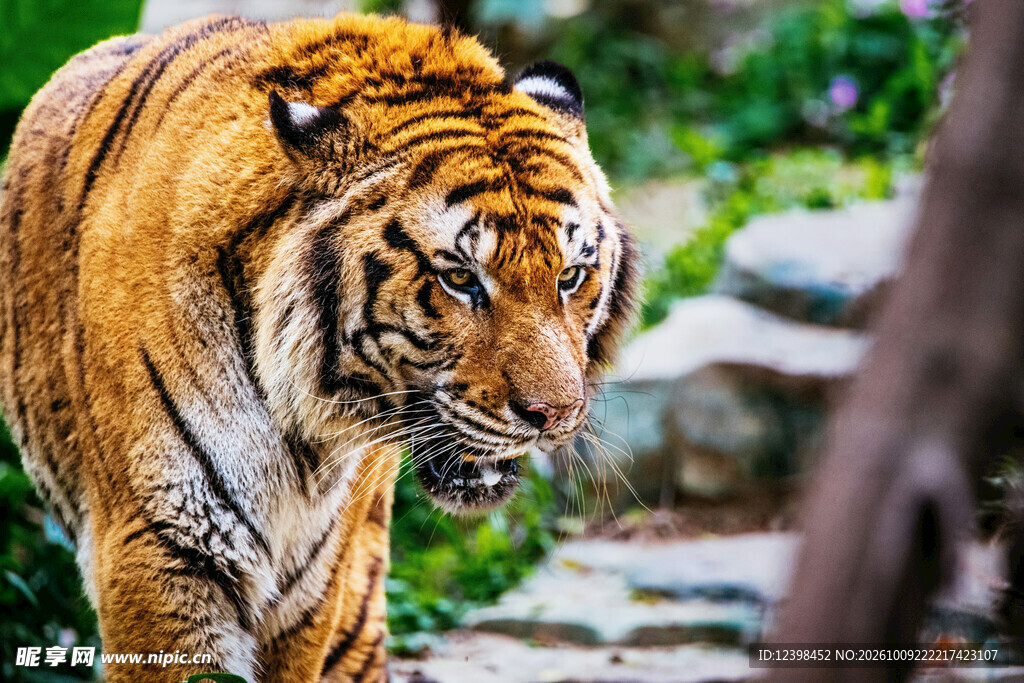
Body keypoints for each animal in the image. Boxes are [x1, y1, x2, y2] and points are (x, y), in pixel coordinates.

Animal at [0, 11, 637, 682]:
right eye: (461, 278)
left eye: (570, 276)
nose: (555, 416)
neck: (299, 431)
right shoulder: (160, 548)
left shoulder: (316, 575)